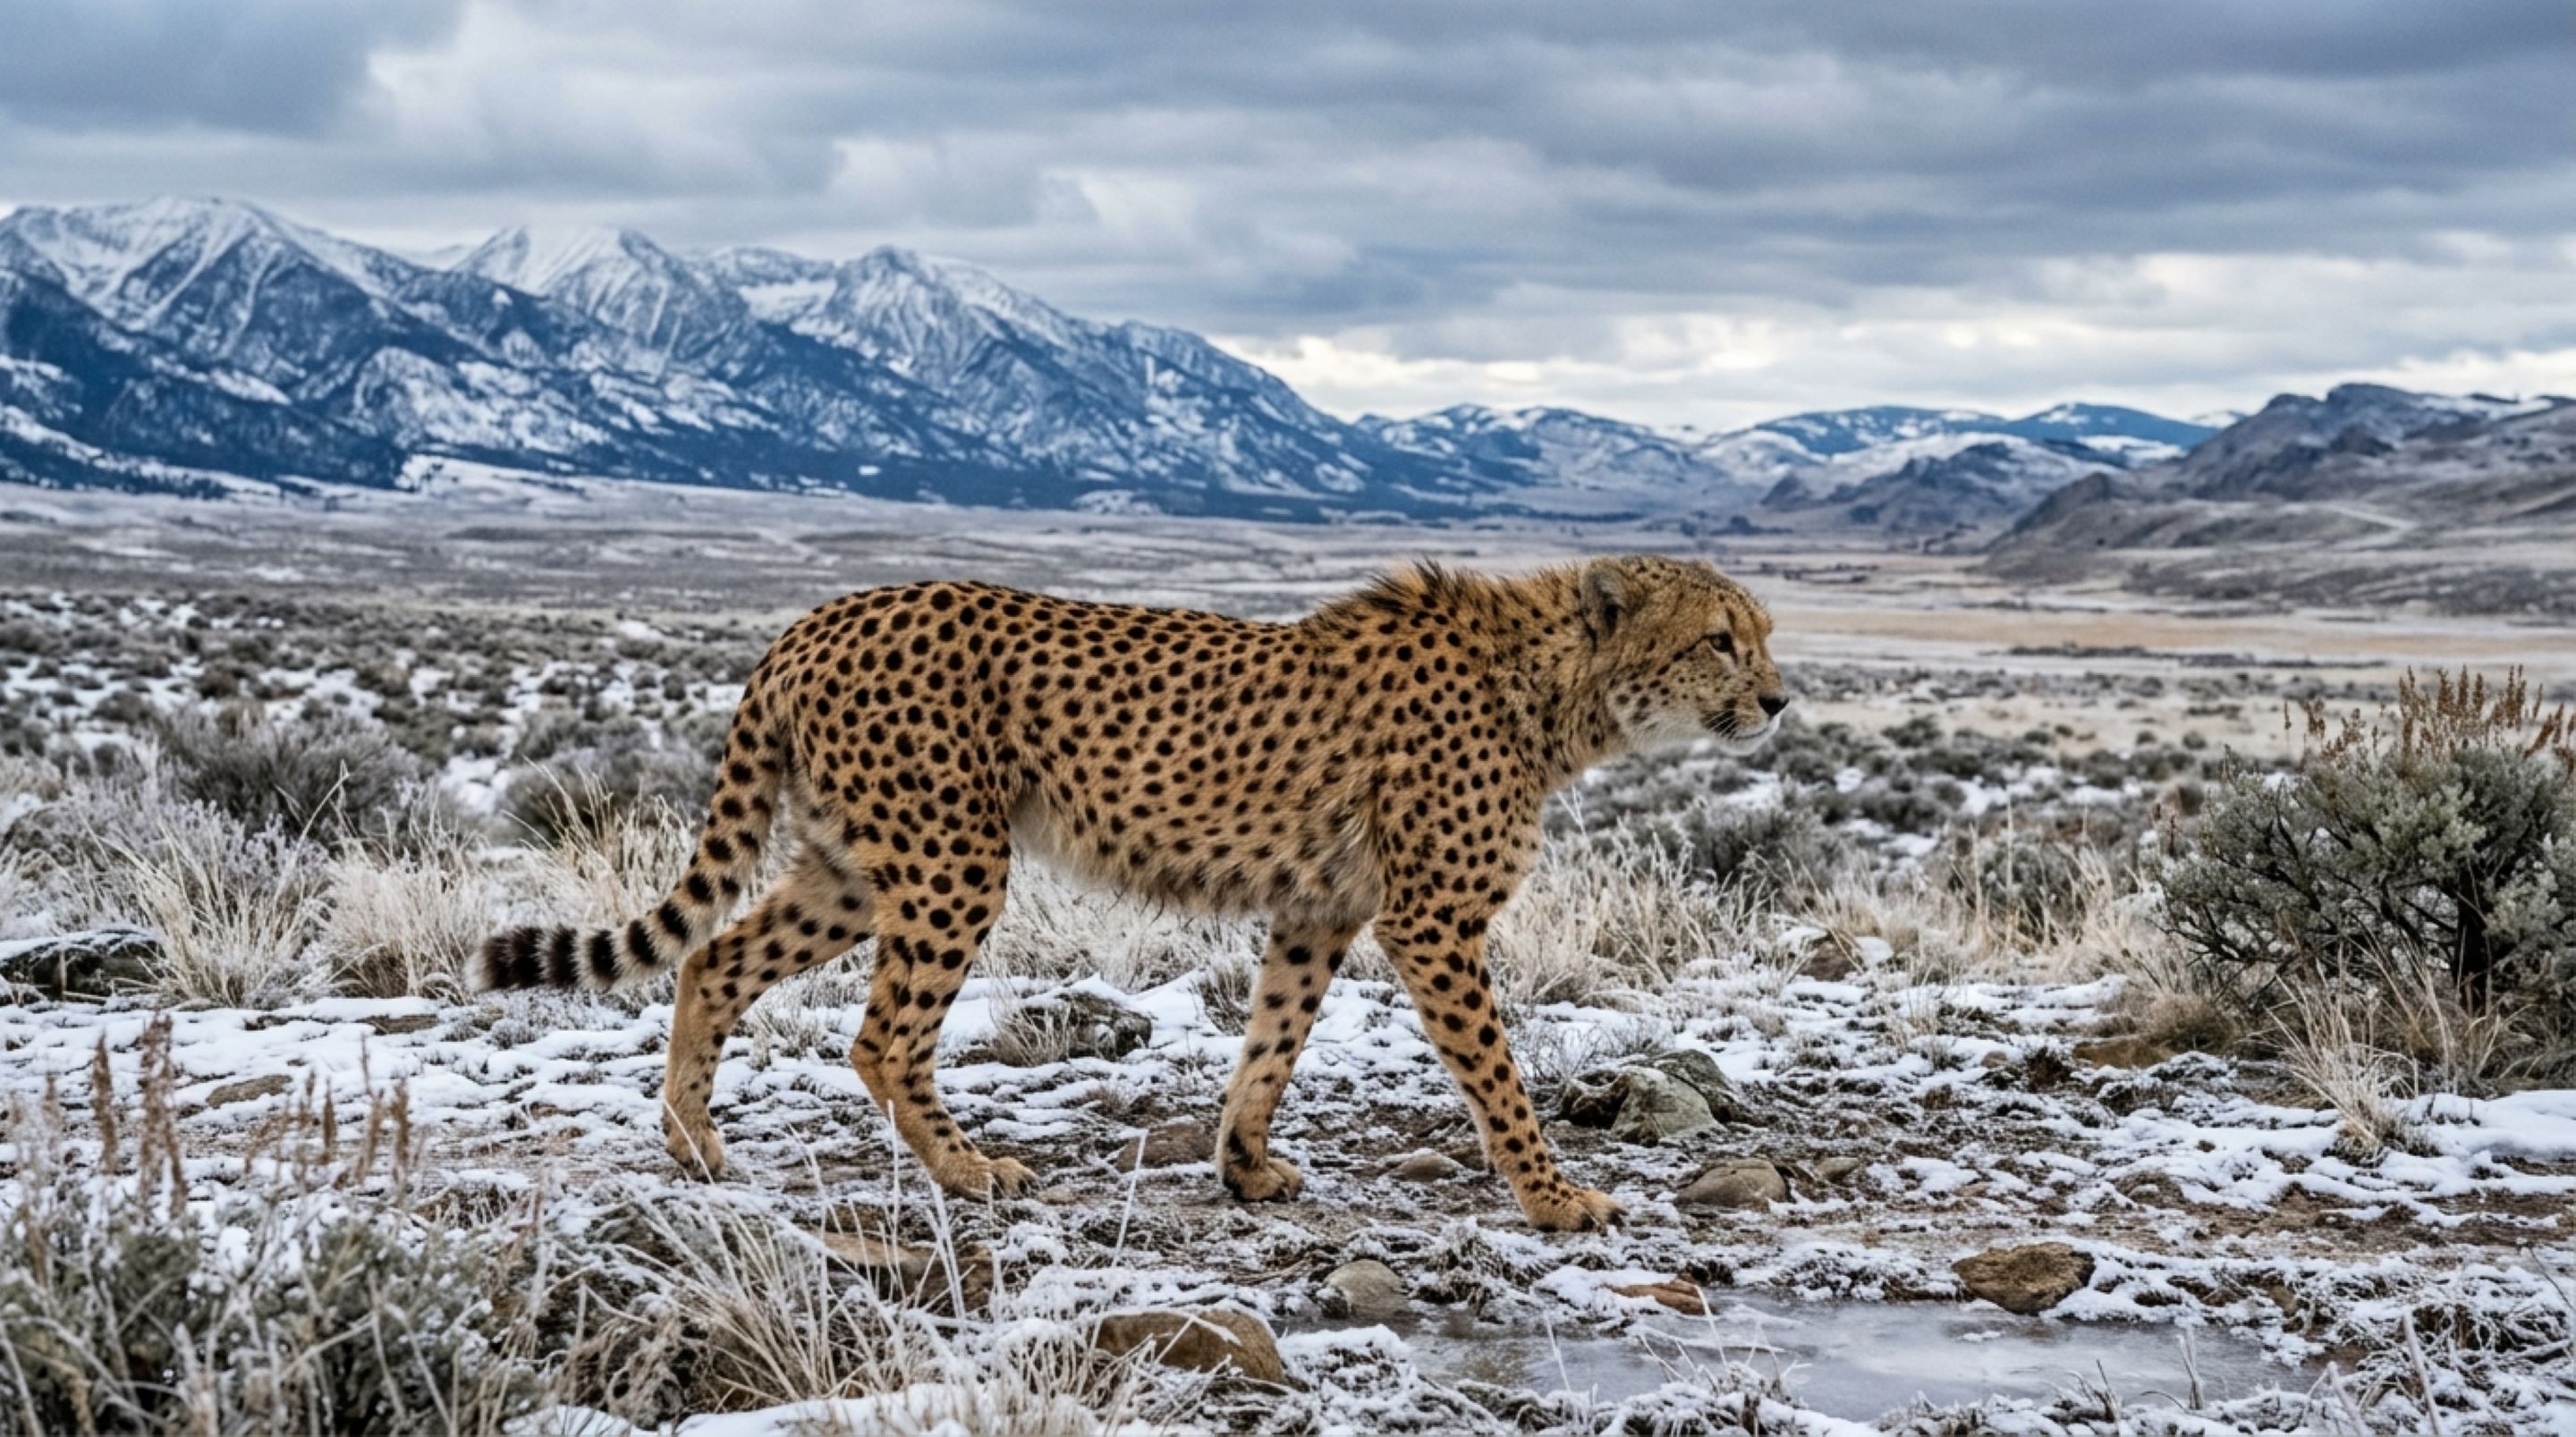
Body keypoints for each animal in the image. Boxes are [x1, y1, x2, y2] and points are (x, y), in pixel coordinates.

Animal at [474, 554, 1787, 1231]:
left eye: (1762, 633)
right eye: (1720, 639)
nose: (1779, 698)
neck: (1556, 685)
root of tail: (823, 613)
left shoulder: (1321, 908)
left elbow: (1272, 1041)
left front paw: (1245, 1164)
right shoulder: (1432, 921)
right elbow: (1497, 1076)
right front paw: (1556, 1194)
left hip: (852, 865)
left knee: (712, 959)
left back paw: (694, 1143)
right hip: (952, 858)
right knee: (882, 1034)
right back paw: (969, 1171)